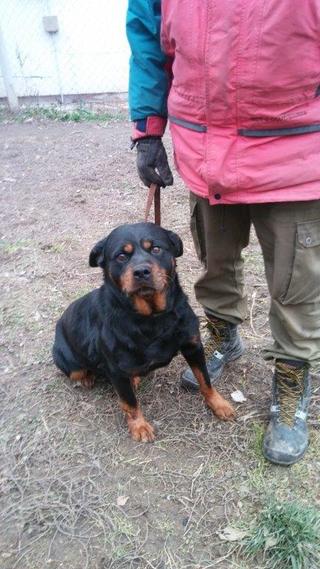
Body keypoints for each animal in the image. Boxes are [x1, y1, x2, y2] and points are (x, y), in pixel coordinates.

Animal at [51, 221, 234, 440]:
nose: (141, 272)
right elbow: (130, 403)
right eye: (121, 256)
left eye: (155, 249)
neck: (152, 318)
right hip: (68, 362)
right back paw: (89, 378)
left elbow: (205, 380)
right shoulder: (116, 371)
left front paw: (218, 403)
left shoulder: (193, 346)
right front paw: (138, 426)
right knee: (79, 372)